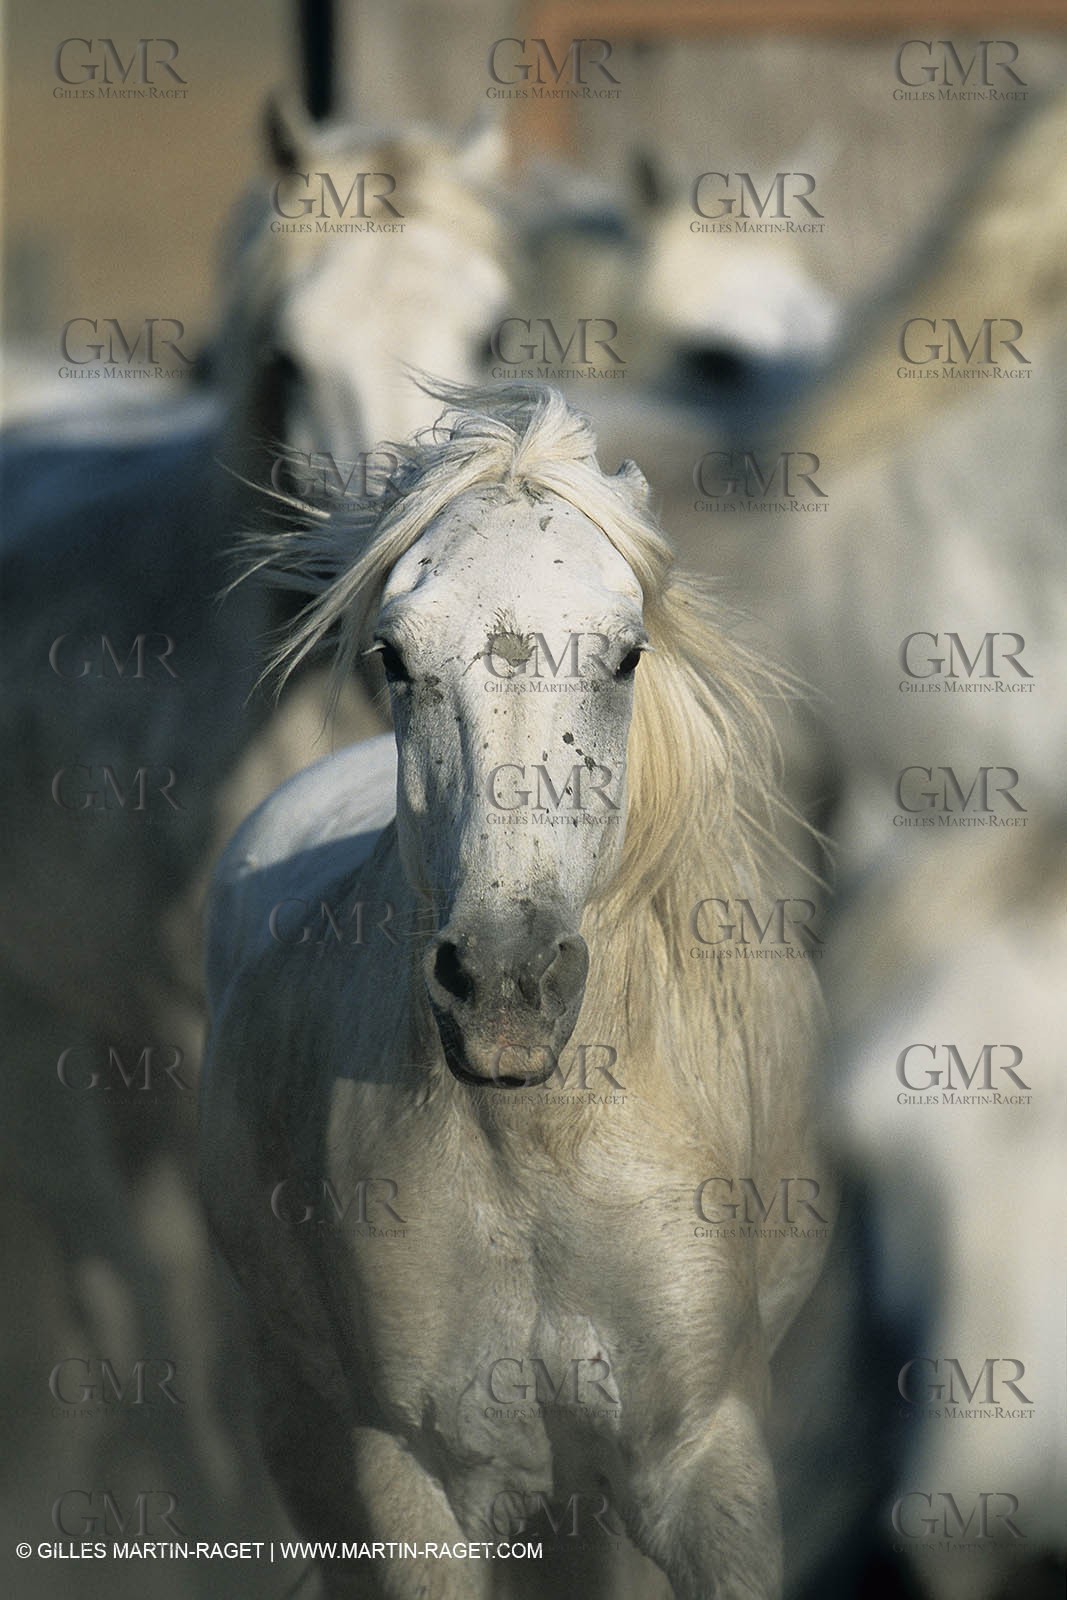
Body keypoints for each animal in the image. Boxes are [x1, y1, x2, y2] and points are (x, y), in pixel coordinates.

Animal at [201, 382, 831, 1600]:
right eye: (395, 656)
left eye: (624, 655)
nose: (503, 985)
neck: (536, 1150)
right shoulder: (408, 1485)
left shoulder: (704, 1463)